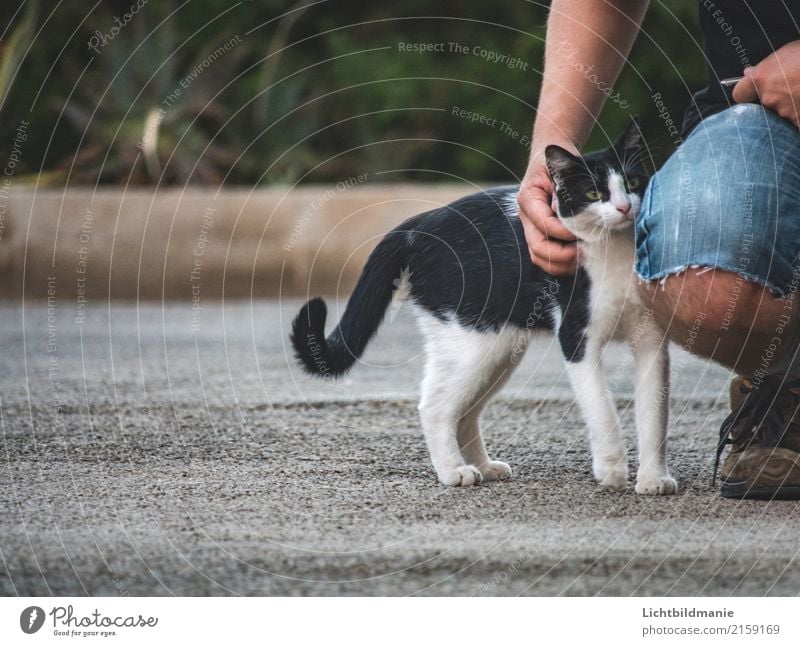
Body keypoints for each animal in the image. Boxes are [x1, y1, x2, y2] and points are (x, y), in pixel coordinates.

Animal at [290, 120, 680, 496]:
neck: (616, 253)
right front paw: (612, 468)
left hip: (499, 348)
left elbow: (654, 413)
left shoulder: (652, 340)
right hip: (472, 345)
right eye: (594, 193)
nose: (625, 207)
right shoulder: (576, 338)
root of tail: (418, 226)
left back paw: (484, 467)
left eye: (632, 182)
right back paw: (454, 471)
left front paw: (653, 478)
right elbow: (602, 407)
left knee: (464, 413)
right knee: (435, 407)